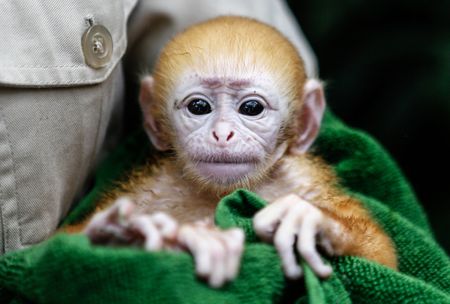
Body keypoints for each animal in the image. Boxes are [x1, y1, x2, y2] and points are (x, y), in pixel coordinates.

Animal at [65, 16, 396, 288]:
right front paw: (120, 232)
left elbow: (385, 261)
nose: (222, 134)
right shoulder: (152, 190)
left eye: (251, 108)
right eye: (199, 107)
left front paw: (313, 221)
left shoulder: (303, 181)